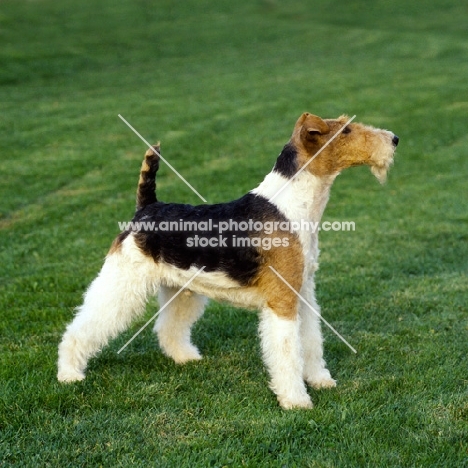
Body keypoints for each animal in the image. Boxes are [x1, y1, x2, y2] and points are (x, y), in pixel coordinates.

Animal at [56, 113, 396, 410]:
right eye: (346, 131)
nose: (394, 139)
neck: (292, 206)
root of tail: (146, 208)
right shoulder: (282, 301)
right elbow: (288, 351)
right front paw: (296, 400)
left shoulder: (304, 293)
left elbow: (311, 342)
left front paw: (320, 380)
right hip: (120, 283)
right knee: (80, 328)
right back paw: (69, 374)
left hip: (182, 289)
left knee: (168, 328)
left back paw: (186, 357)